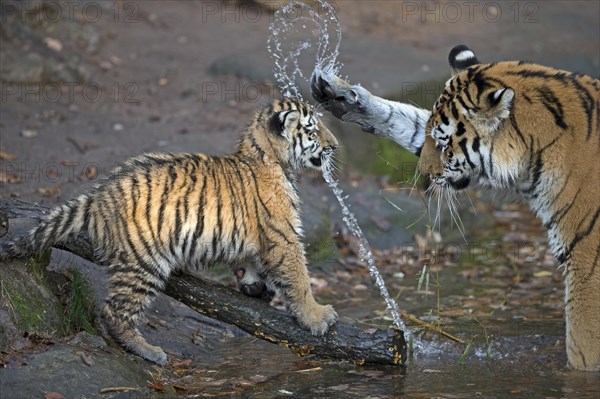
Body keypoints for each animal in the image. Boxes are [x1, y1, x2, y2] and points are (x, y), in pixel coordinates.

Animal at [0, 97, 340, 366]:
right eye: (313, 130)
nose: (335, 145)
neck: (265, 154)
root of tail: (99, 195)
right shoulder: (283, 236)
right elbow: (299, 278)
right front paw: (317, 316)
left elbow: (253, 260)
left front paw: (253, 285)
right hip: (144, 262)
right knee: (114, 310)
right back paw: (149, 351)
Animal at [312, 46, 596, 372]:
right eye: (432, 139)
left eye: (443, 144)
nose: (422, 173)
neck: (536, 151)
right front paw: (343, 96)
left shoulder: (586, 258)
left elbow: (582, 343)